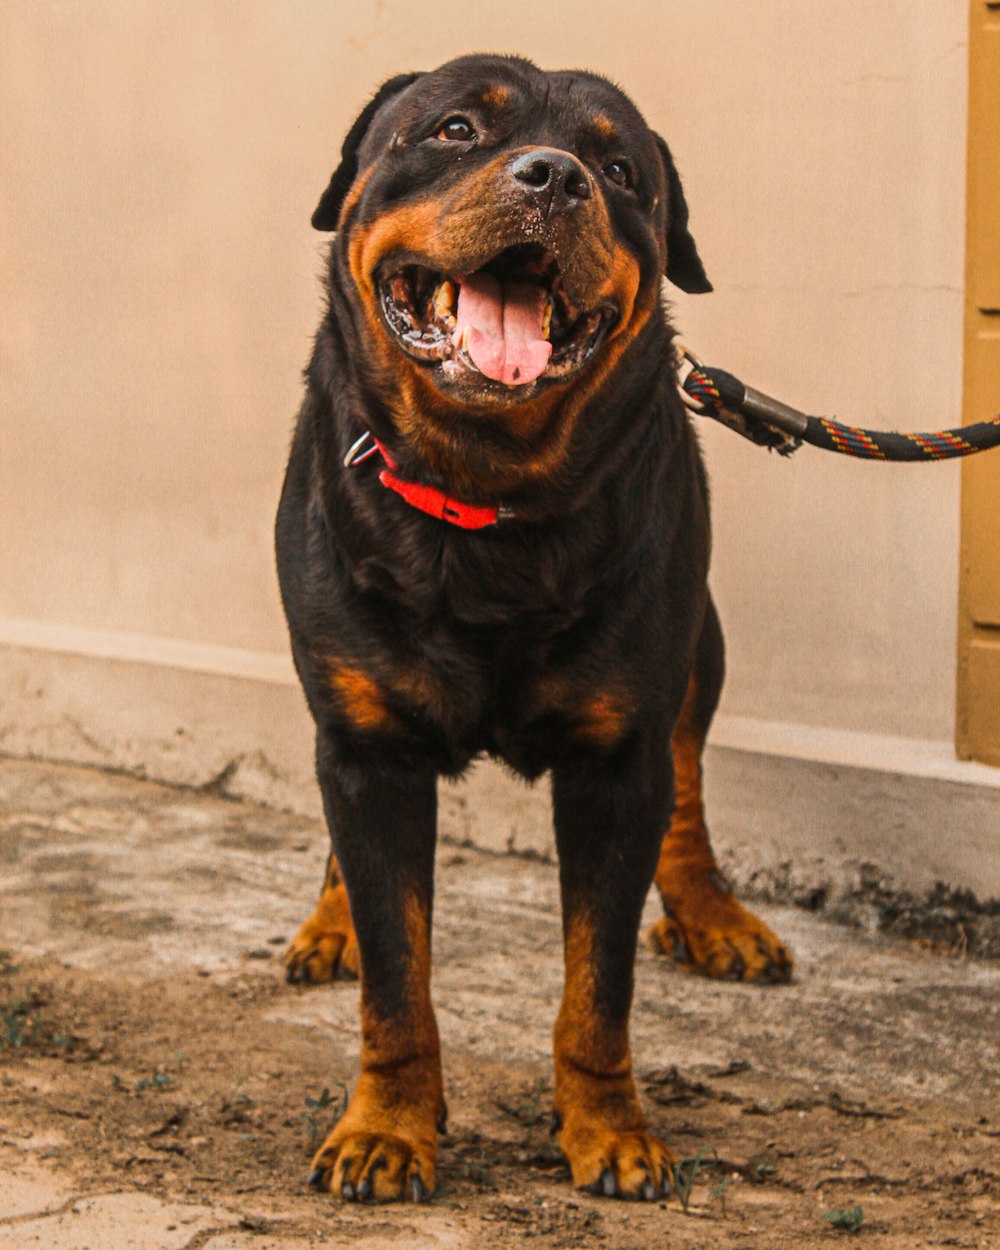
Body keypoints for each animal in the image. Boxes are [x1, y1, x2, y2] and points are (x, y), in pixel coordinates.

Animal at [277, 53, 795, 1205]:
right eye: (454, 128)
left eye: (621, 169)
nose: (555, 175)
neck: (487, 496)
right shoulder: (367, 746)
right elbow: (396, 976)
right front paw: (386, 1127)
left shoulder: (616, 760)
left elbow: (599, 987)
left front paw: (610, 1129)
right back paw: (329, 923)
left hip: (700, 643)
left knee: (689, 785)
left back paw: (712, 916)